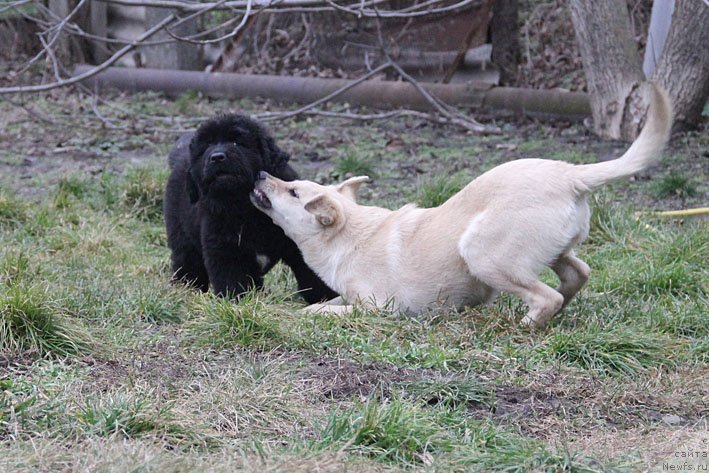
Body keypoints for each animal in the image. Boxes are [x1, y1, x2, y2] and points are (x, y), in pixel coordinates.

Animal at [163, 112, 338, 300]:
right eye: (207, 146)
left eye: (237, 142)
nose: (216, 157)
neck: (247, 209)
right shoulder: (225, 250)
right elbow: (234, 282)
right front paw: (237, 301)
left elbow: (314, 275)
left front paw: (327, 299)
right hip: (183, 238)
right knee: (187, 264)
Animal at [252, 83, 672, 326]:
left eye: (293, 192)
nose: (259, 174)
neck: (349, 236)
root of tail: (569, 174)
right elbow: (334, 299)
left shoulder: (379, 307)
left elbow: (321, 308)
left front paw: (311, 312)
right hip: (548, 250)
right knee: (577, 274)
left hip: (482, 254)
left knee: (547, 294)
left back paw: (526, 324)